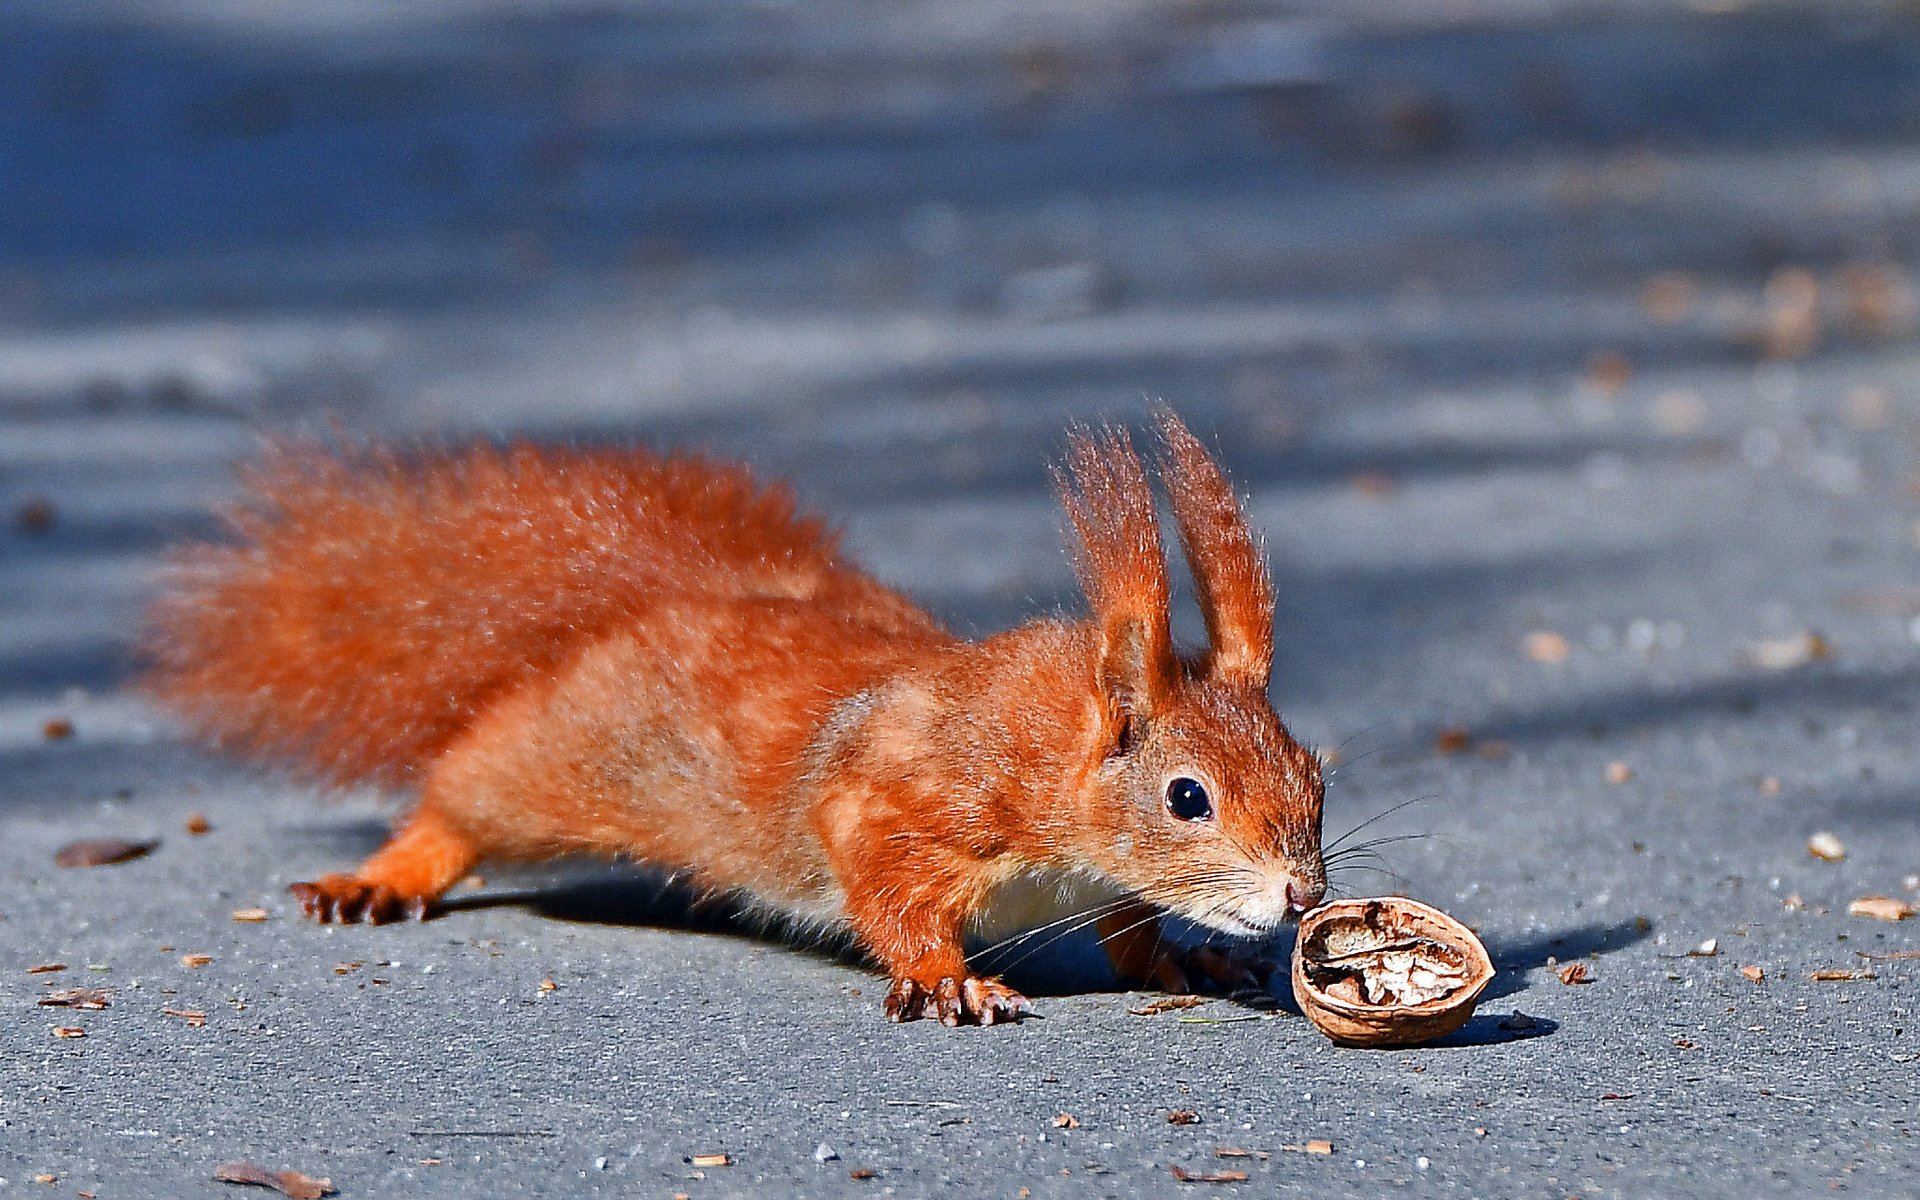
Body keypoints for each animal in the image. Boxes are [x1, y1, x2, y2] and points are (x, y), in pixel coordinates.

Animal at [142, 408, 1328, 1021]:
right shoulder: (896, 799)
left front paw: (1187, 958)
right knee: (460, 798)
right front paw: (942, 976)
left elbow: (1130, 928)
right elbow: (884, 888)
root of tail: (658, 605)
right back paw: (385, 874)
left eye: (1316, 774)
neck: (1042, 754)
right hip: (555, 763)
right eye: (1186, 797)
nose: (1303, 896)